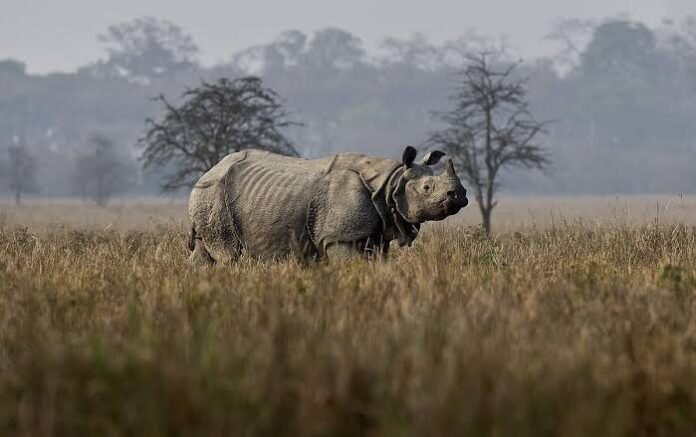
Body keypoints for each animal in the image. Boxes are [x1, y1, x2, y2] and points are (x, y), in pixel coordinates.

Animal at [187, 145, 468, 264]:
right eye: (427, 188)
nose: (460, 195)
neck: (391, 182)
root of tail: (205, 173)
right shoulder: (339, 237)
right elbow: (350, 264)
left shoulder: (376, 235)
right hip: (212, 193)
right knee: (228, 254)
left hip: (211, 195)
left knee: (205, 252)